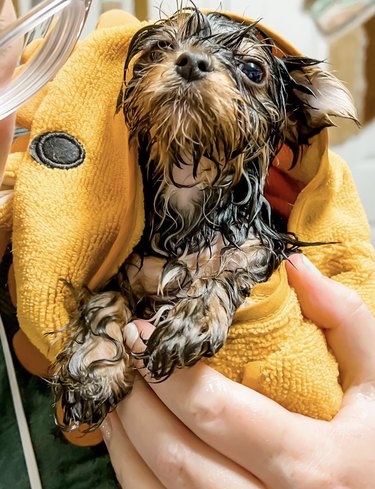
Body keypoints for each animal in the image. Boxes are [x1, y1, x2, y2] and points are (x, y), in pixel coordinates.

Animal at [51, 6, 356, 428]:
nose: (191, 61)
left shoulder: (262, 247)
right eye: (162, 46)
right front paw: (95, 370)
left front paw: (191, 320)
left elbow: (228, 270)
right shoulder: (126, 270)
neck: (190, 189)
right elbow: (107, 299)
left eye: (253, 70)